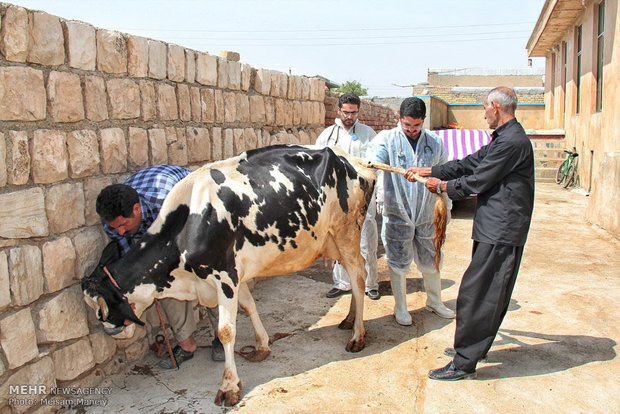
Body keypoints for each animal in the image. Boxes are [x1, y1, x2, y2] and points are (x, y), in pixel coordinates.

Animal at [81, 144, 372, 406]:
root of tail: (354, 160)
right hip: (333, 240)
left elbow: (226, 331)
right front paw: (261, 346)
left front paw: (229, 387)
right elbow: (250, 306)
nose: (111, 332)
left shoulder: (224, 276)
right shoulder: (234, 275)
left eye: (101, 310)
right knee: (354, 276)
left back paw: (357, 336)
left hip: (347, 233)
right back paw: (349, 320)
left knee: (359, 276)